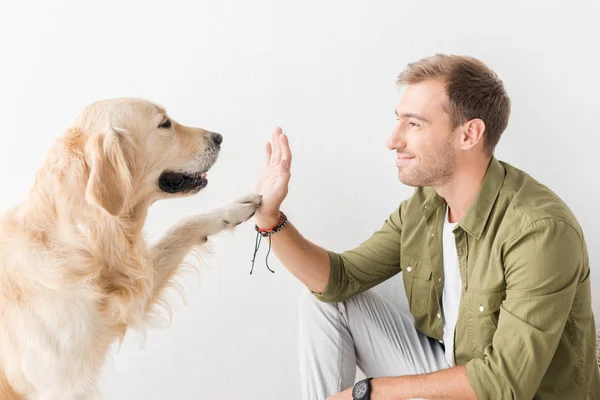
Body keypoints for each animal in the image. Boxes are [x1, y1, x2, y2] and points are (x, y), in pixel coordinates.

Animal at [0, 98, 260, 398]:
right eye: (164, 124)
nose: (218, 137)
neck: (79, 242)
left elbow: (180, 227)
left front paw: (232, 209)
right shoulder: (60, 385)